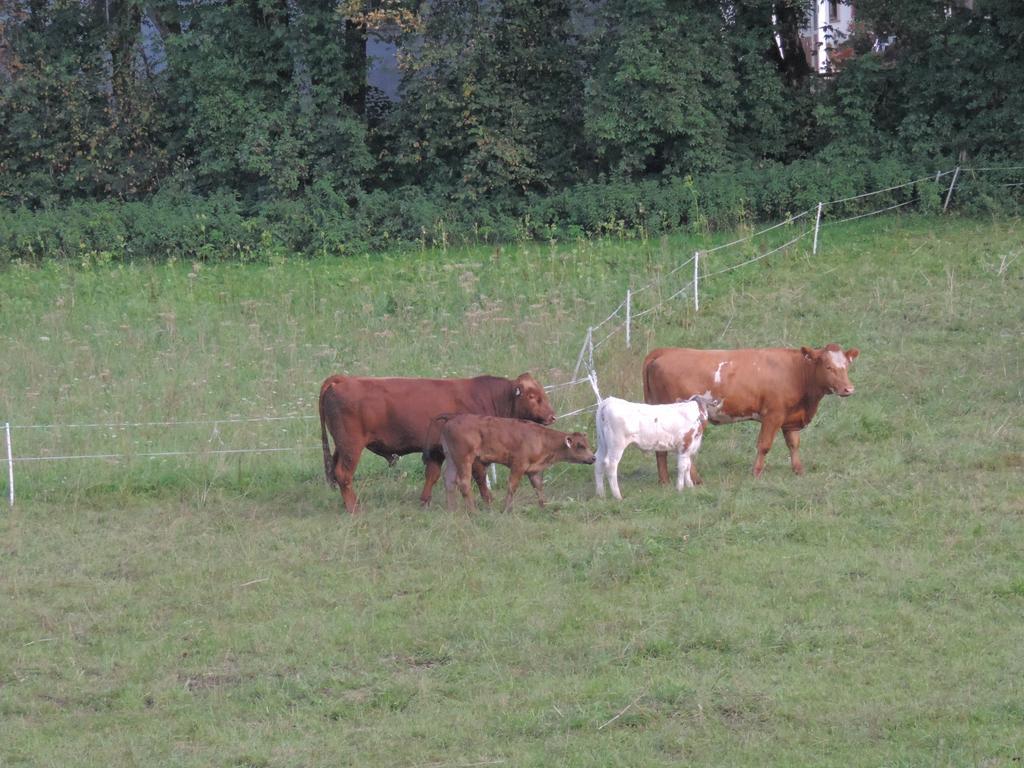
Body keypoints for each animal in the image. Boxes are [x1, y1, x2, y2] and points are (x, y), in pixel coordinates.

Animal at [319, 374, 557, 518]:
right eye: (533, 396)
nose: (552, 416)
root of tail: (343, 379)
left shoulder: (436, 451)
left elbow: (431, 476)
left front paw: (425, 502)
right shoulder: (470, 453)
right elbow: (480, 476)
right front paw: (488, 501)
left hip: (341, 447)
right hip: (351, 447)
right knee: (344, 475)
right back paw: (354, 508)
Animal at [643, 344, 860, 481]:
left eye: (846, 366)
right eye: (828, 366)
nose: (848, 389)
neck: (796, 371)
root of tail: (663, 351)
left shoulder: (789, 418)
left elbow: (793, 444)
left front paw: (799, 471)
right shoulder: (773, 414)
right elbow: (764, 445)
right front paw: (755, 473)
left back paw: (664, 481)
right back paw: (696, 480)